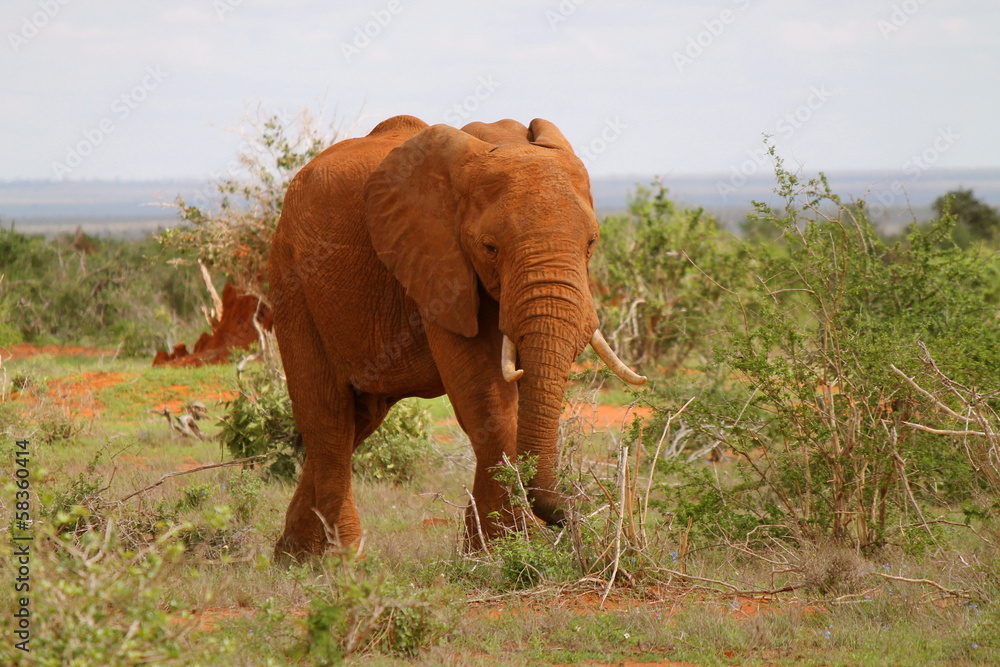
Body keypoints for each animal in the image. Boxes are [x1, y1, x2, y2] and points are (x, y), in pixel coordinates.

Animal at [269, 114, 645, 560]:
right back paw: (340, 561)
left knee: (356, 422)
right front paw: (504, 551)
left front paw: (489, 549)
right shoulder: (438, 267)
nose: (571, 516)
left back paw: (291, 558)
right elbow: (487, 399)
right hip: (292, 281)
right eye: (490, 247)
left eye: (591, 242)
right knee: (328, 419)